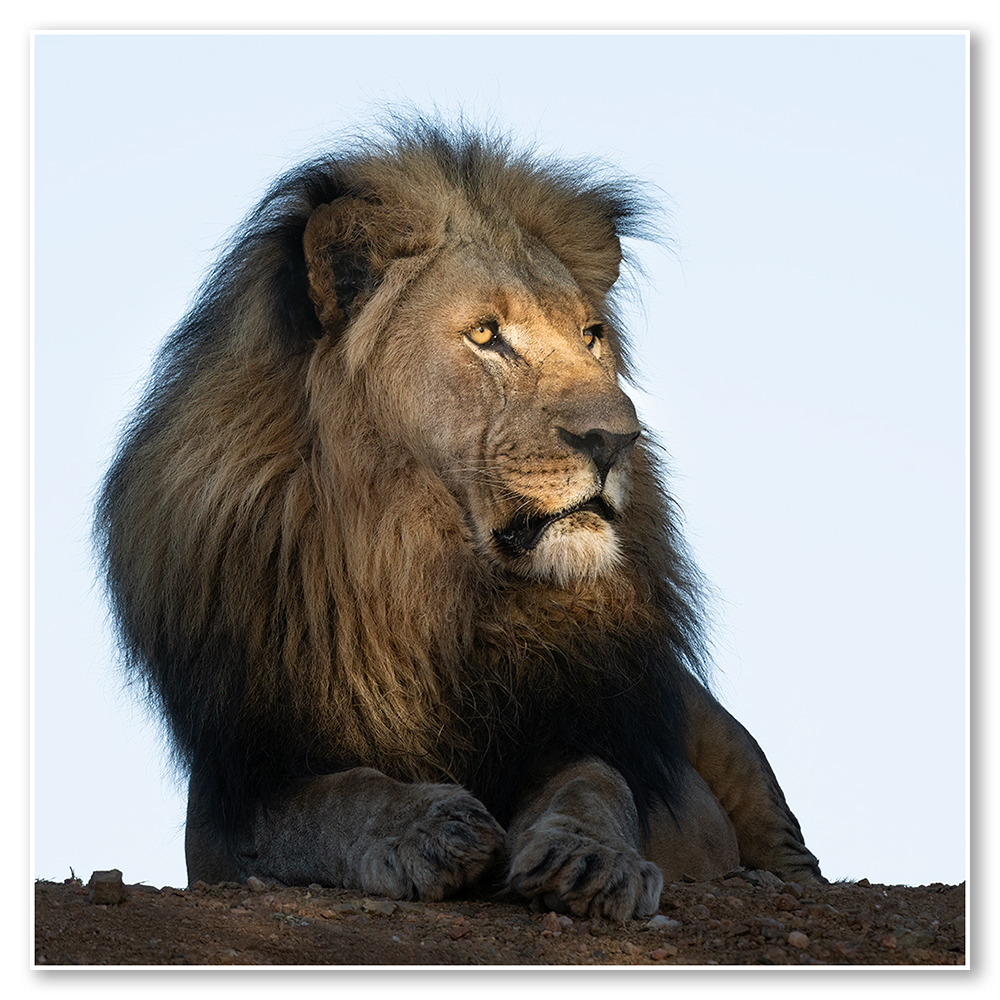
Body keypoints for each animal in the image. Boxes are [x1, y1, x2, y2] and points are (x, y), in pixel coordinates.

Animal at [95, 119, 823, 920]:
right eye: (484, 336)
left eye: (591, 336)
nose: (616, 439)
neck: (429, 578)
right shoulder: (242, 782)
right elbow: (330, 803)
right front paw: (427, 830)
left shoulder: (572, 723)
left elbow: (596, 785)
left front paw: (590, 861)